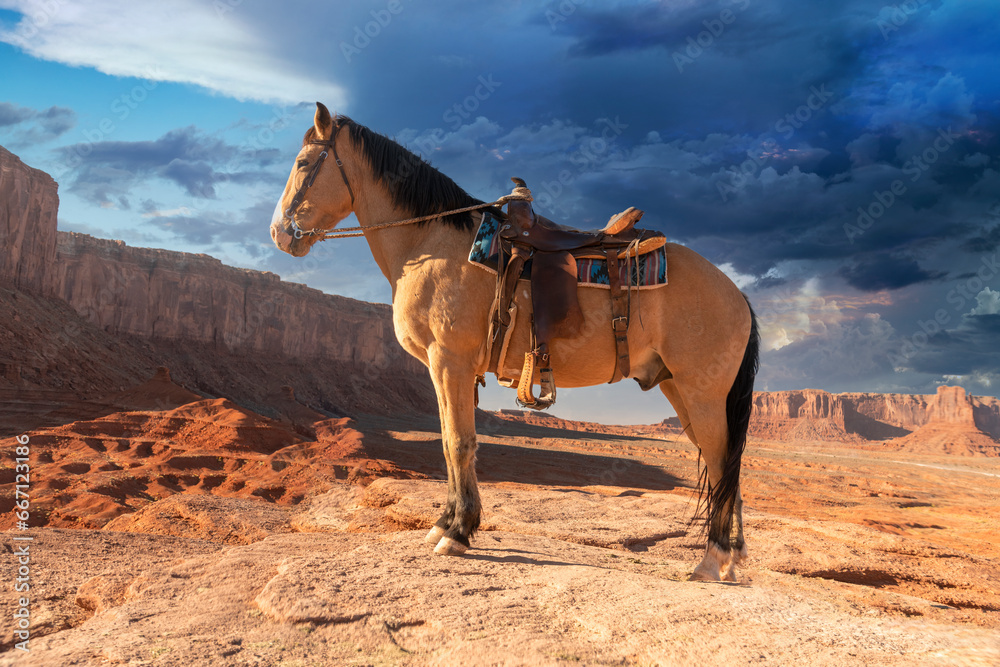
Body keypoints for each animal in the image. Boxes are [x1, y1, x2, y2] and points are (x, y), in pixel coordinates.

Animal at [270, 103, 760, 582]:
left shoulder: (449, 361)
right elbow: (448, 440)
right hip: (681, 390)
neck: (430, 242)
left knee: (722, 462)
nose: (279, 233)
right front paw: (445, 524)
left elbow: (458, 443)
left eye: (303, 163)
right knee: (726, 462)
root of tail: (737, 295)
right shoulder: (443, 368)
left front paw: (458, 533)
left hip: (701, 393)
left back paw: (712, 560)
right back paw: (732, 558)